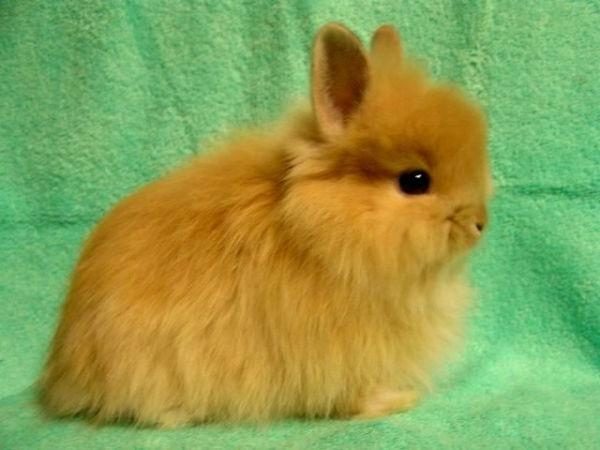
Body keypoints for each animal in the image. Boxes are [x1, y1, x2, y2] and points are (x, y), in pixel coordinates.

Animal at [41, 22, 492, 428]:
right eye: (415, 181)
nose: (480, 224)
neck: (322, 233)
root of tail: (63, 368)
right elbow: (353, 394)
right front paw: (396, 401)